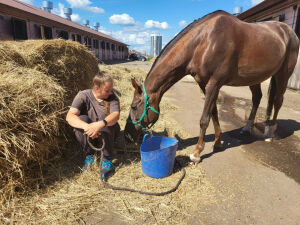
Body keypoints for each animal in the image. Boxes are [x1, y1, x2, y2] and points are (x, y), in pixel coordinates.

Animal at [123, 10, 298, 163]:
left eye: (133, 107)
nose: (127, 136)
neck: (204, 41)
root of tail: (288, 31)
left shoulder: (214, 83)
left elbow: (204, 119)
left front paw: (197, 153)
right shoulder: (204, 84)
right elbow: (213, 113)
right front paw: (218, 142)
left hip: (283, 74)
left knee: (278, 100)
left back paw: (270, 133)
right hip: (254, 77)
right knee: (257, 98)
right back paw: (247, 128)